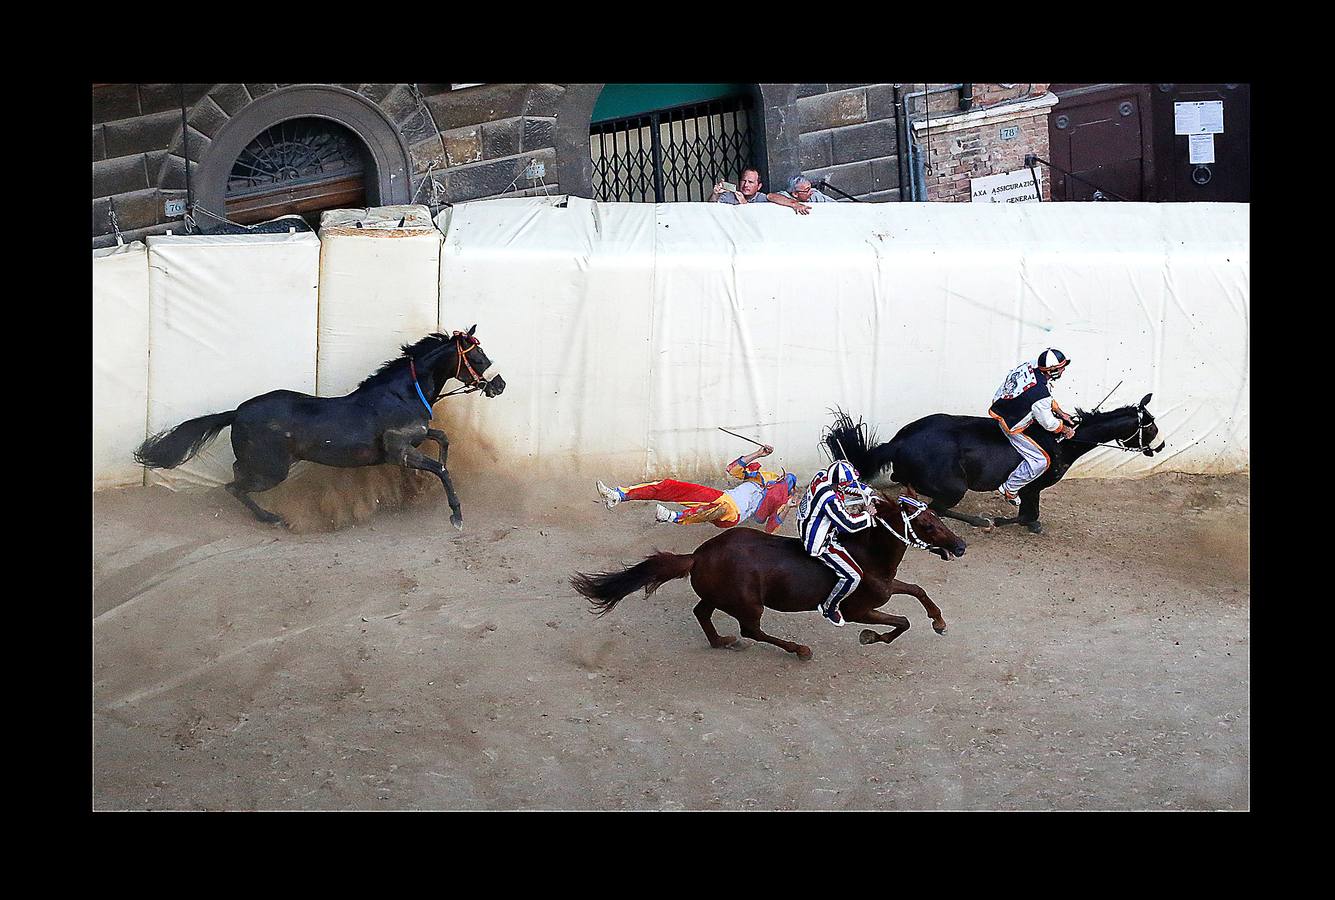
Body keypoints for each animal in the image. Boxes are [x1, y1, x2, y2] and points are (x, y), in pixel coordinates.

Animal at [136, 327, 504, 526]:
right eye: (478, 358)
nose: (499, 384)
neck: (402, 393)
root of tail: (236, 412)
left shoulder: (413, 440)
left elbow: (442, 440)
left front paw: (418, 486)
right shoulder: (399, 448)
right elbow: (441, 469)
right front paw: (455, 514)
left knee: (238, 475)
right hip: (272, 471)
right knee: (234, 486)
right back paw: (273, 518)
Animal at [827, 395, 1164, 534]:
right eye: (1150, 427)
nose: (1160, 445)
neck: (1064, 442)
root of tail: (897, 442)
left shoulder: (1031, 490)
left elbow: (1030, 517)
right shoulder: (1032, 487)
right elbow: (1029, 517)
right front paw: (1000, 520)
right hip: (954, 487)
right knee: (937, 508)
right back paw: (980, 522)